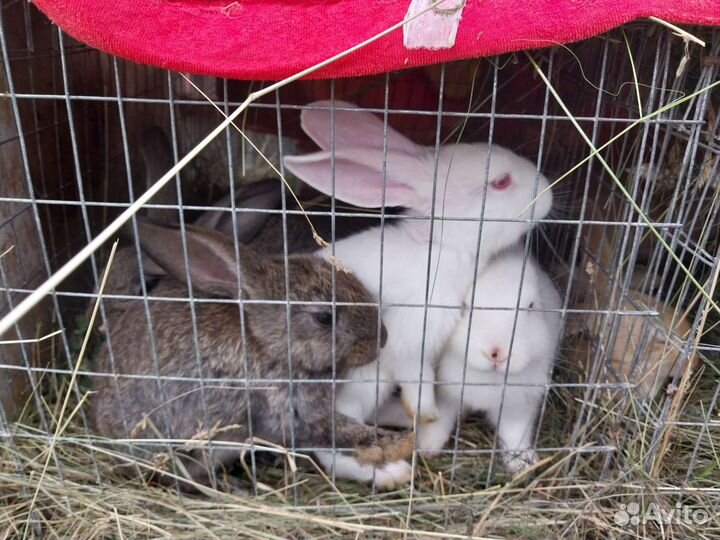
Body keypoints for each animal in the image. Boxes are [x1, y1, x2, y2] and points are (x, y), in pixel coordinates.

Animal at [91, 220, 416, 492]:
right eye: (325, 318)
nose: (382, 339)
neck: (265, 342)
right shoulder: (284, 406)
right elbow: (332, 428)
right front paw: (392, 442)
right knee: (184, 476)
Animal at [380, 247, 563, 474]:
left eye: (531, 306)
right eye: (466, 306)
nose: (496, 353)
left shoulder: (518, 405)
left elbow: (514, 434)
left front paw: (522, 464)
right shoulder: (446, 393)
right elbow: (440, 420)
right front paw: (428, 448)